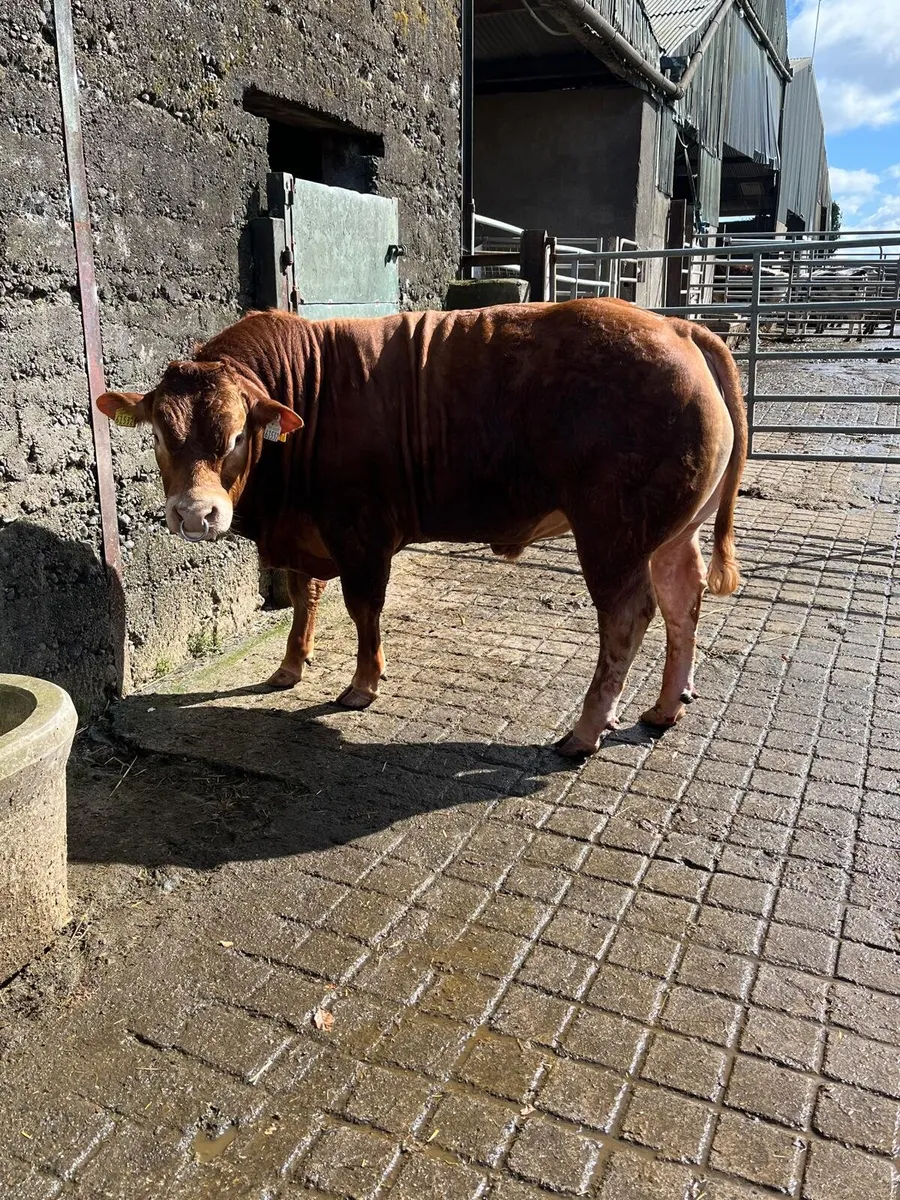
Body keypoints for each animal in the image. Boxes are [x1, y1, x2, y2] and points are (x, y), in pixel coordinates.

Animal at [97, 300, 747, 757]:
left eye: (235, 437)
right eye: (159, 434)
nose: (194, 513)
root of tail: (677, 327)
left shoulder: (358, 531)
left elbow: (363, 609)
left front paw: (363, 684)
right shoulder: (309, 536)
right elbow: (305, 597)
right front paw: (289, 667)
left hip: (612, 533)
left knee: (627, 616)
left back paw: (585, 732)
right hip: (671, 531)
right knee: (681, 598)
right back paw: (665, 707)